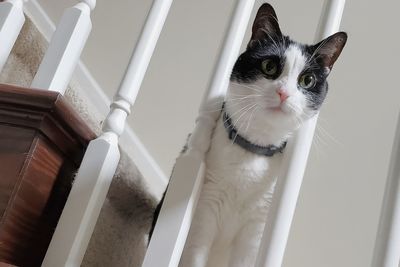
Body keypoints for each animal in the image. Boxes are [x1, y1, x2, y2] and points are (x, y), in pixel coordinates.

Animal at [151, 2, 346, 267]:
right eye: (269, 67)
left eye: (307, 80)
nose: (284, 93)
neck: (253, 150)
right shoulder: (205, 207)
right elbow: (195, 253)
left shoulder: (257, 227)